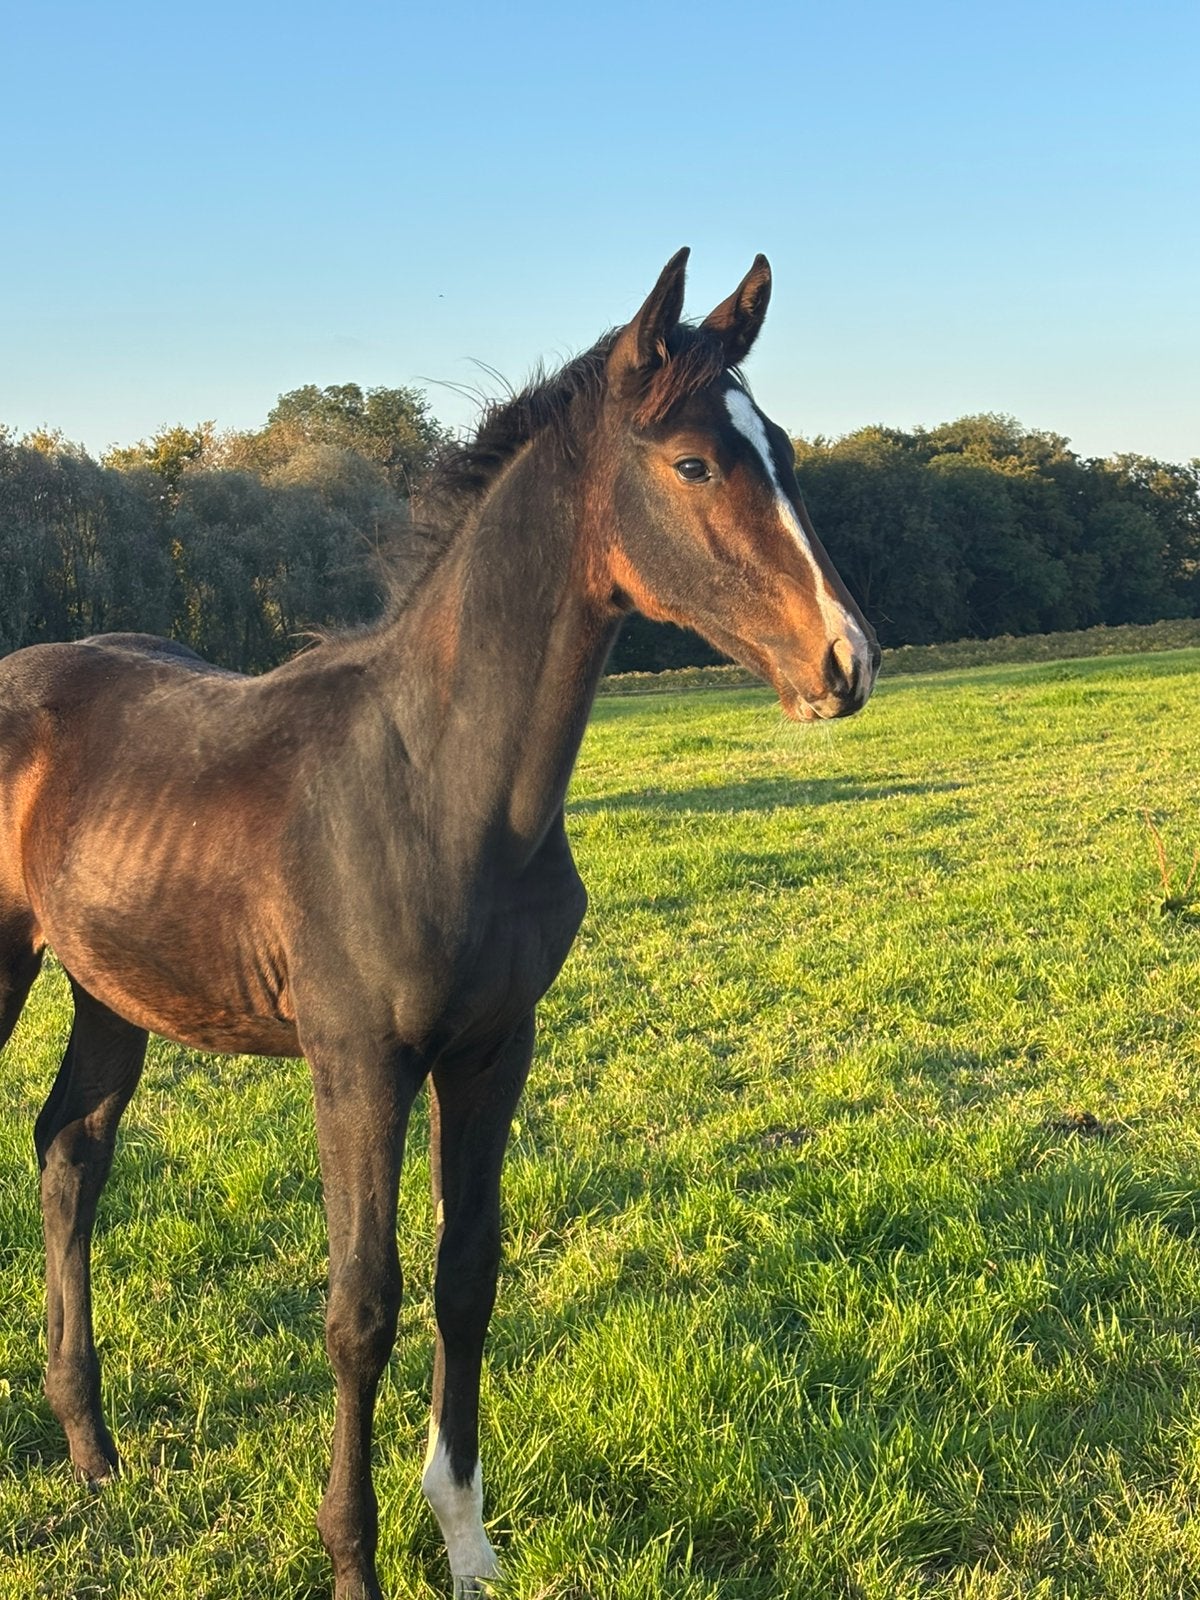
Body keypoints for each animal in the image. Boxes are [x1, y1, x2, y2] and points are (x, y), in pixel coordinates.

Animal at [0, 249, 878, 1598]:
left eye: (778, 445)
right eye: (693, 463)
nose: (846, 661)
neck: (437, 780)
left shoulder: (492, 1049)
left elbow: (469, 1276)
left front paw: (465, 1540)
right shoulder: (359, 1062)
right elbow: (362, 1306)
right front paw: (353, 1557)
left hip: (111, 988)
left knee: (70, 1156)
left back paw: (94, 1451)